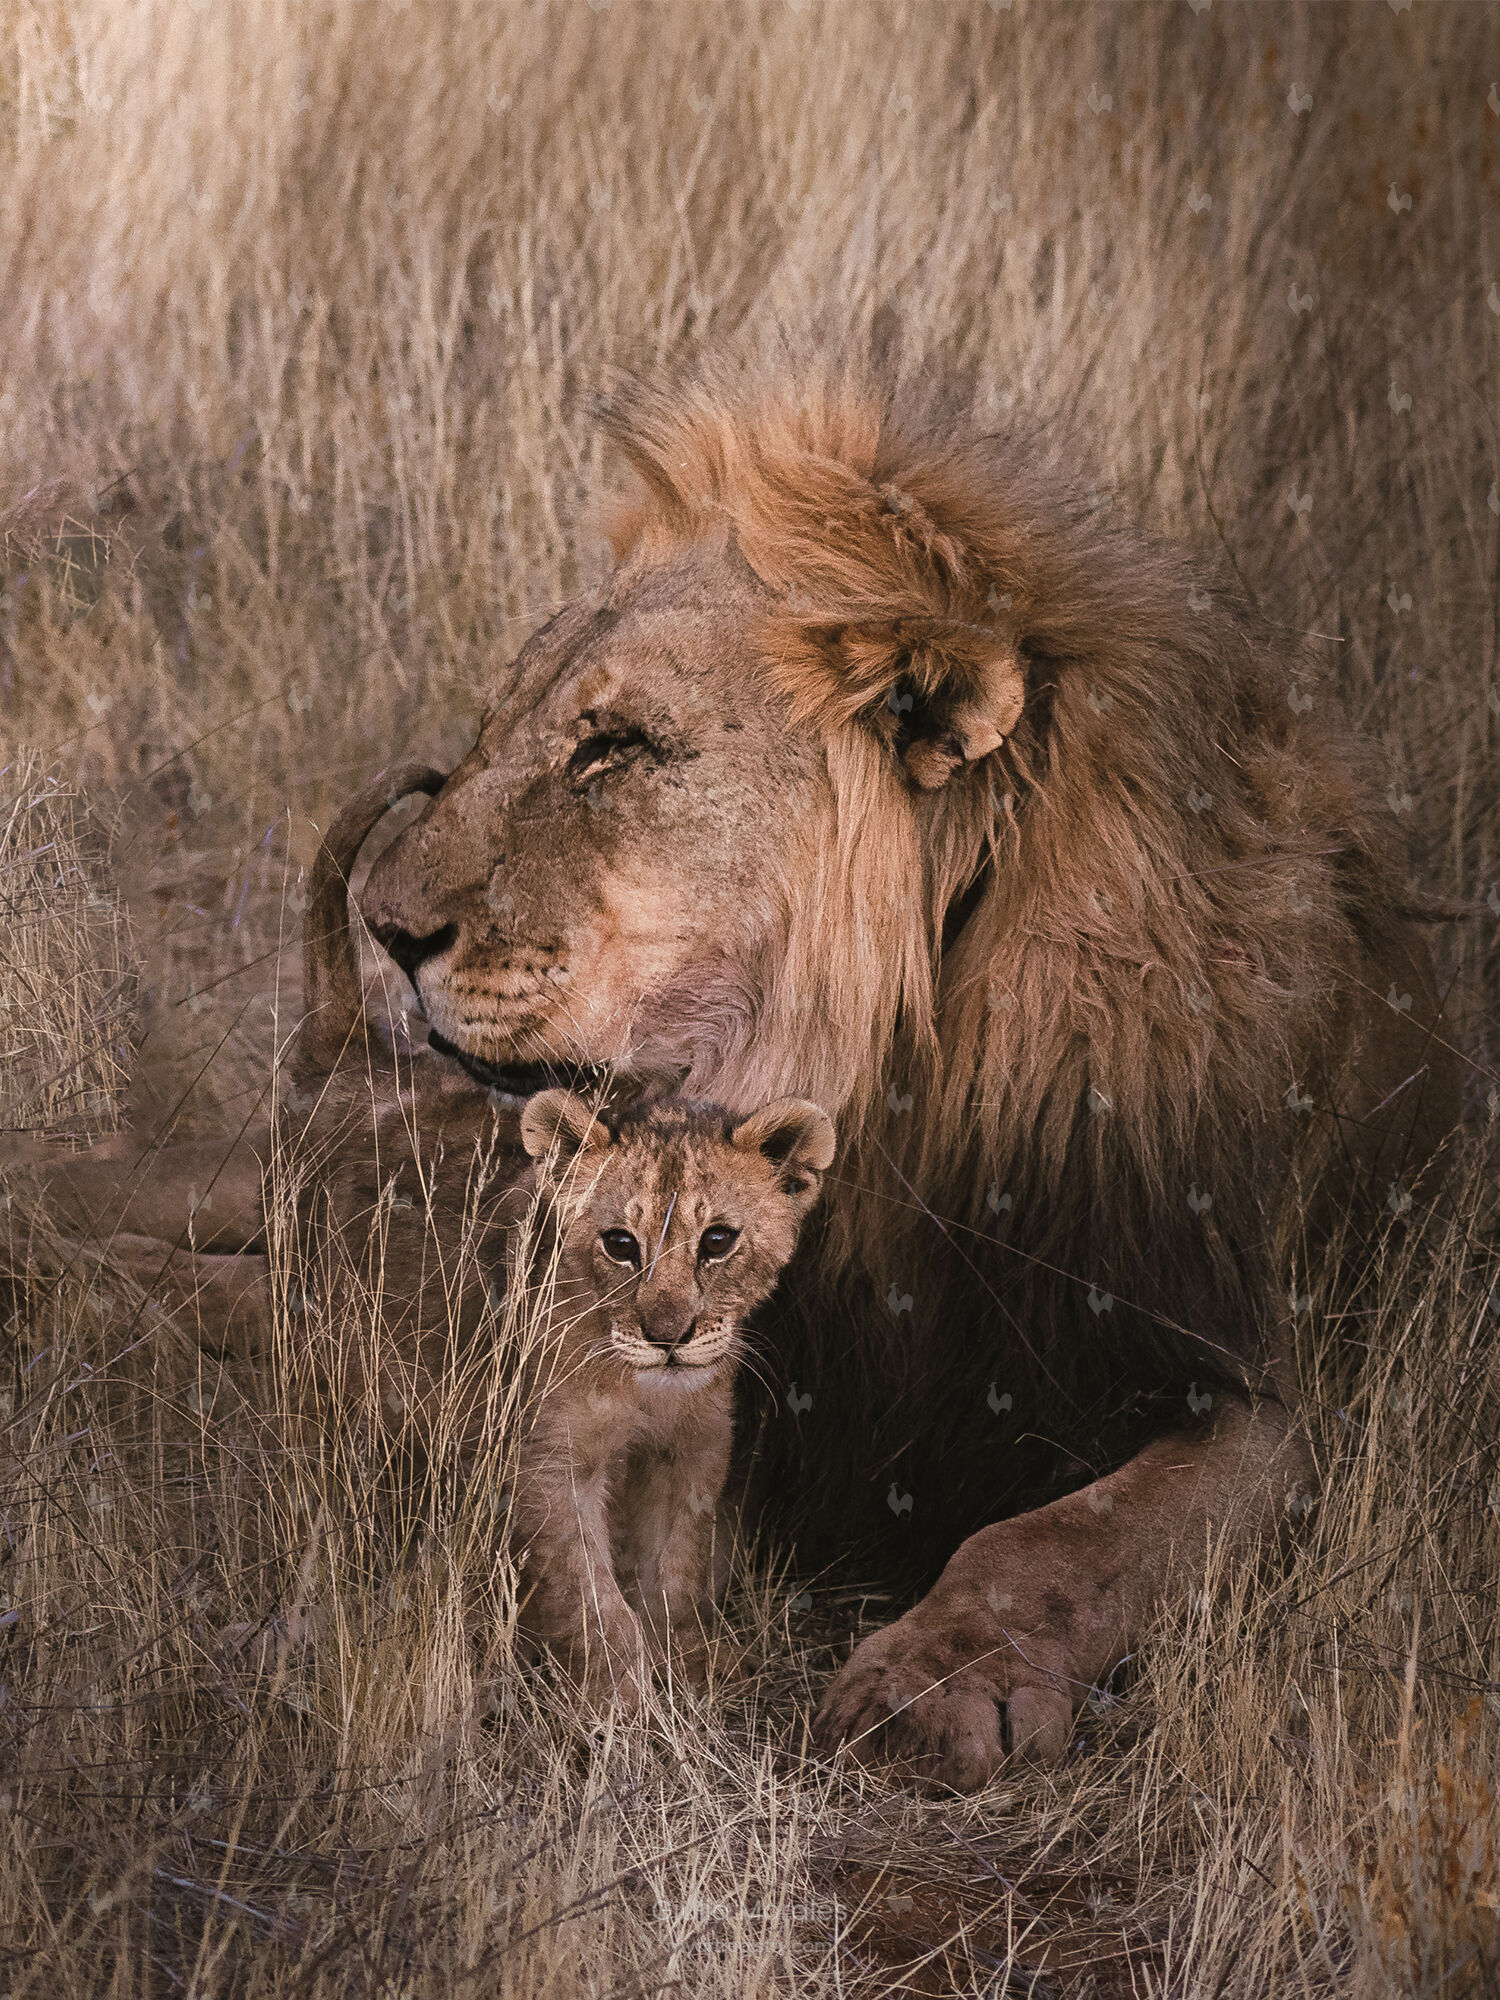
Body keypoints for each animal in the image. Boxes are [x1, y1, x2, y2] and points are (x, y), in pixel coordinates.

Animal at [20, 351, 1460, 1787]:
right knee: (142, 1224)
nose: (390, 924)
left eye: (614, 747)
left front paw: (935, 1680)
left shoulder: (1259, 1381)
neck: (909, 1093)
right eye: (502, 726)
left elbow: (1065, 1535)